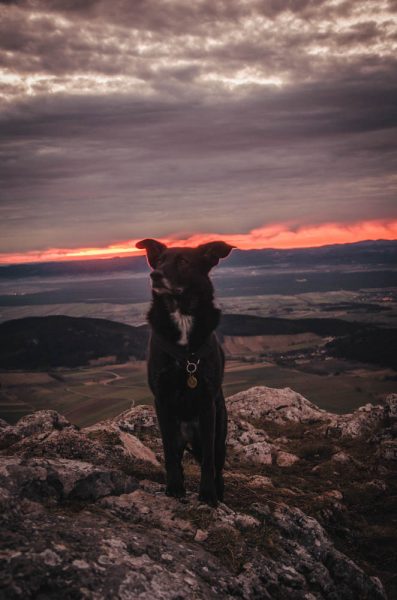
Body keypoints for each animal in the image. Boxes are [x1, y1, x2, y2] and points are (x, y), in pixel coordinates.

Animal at [136, 239, 234, 506]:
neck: (181, 315)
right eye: (159, 261)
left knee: (217, 464)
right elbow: (169, 454)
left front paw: (208, 494)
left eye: (183, 261)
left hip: (219, 434)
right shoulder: (162, 400)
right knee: (177, 455)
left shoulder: (207, 403)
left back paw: (219, 493)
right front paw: (174, 487)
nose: (155, 275)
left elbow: (208, 462)